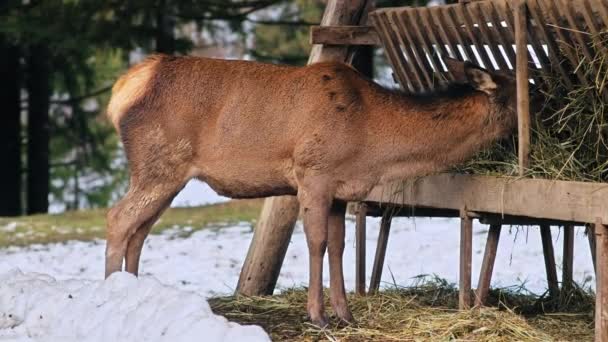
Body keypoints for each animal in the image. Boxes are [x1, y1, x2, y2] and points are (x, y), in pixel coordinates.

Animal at [105, 52, 516, 326]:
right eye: (523, 88)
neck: (373, 145)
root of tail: (121, 91)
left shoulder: (338, 190)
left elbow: (338, 246)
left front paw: (346, 314)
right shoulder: (313, 173)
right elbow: (316, 243)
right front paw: (317, 315)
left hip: (164, 175)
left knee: (140, 230)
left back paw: (133, 290)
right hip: (160, 163)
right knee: (118, 219)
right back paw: (112, 292)